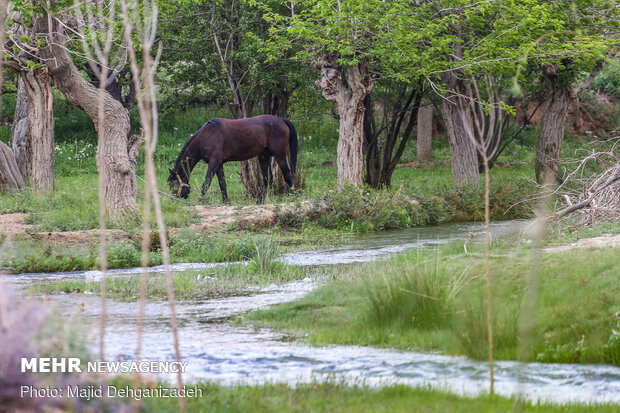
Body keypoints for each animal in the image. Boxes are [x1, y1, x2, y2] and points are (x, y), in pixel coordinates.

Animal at [167, 114, 298, 203]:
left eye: (173, 185)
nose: (175, 201)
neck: (206, 135)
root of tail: (282, 120)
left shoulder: (213, 163)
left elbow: (206, 183)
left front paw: (200, 201)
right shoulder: (218, 164)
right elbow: (222, 184)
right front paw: (226, 202)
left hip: (280, 155)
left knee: (288, 175)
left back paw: (292, 197)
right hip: (264, 157)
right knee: (267, 180)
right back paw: (259, 201)